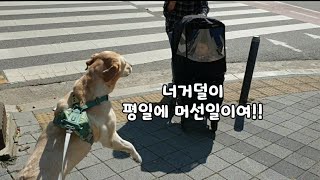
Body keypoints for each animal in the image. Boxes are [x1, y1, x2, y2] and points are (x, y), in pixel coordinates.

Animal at [17, 51, 142, 180]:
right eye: (125, 62)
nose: (132, 65)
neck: (87, 99)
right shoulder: (110, 139)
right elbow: (129, 144)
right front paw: (137, 157)